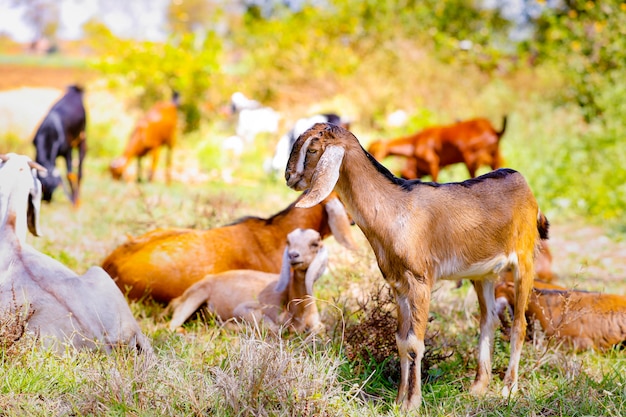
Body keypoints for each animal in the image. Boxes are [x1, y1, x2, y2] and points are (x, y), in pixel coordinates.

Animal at [168, 226, 330, 334]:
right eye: (288, 241)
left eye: (315, 243)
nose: (293, 255)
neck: (299, 312)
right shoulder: (244, 309)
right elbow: (274, 327)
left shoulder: (317, 324)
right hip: (196, 296)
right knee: (172, 326)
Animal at [286, 122, 548, 410]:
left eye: (312, 149)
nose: (289, 177)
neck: (396, 208)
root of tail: (523, 182)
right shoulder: (399, 284)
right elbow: (401, 341)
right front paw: (399, 400)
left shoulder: (421, 282)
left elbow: (414, 342)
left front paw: (413, 403)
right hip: (484, 274)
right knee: (488, 320)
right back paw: (478, 388)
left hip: (524, 261)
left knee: (519, 324)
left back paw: (508, 388)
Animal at [366, 115, 508, 180]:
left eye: (373, 150)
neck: (415, 142)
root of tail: (494, 131)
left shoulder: (433, 163)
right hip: (495, 159)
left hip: (472, 161)